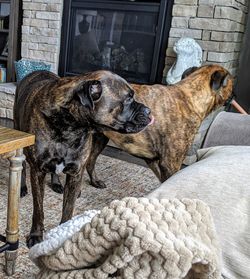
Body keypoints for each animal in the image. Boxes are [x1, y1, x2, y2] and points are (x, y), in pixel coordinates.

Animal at [14, 70, 151, 247]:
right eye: (128, 98)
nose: (149, 111)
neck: (71, 127)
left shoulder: (75, 174)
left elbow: (68, 209)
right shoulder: (38, 172)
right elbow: (38, 210)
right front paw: (36, 235)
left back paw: (59, 183)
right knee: (24, 165)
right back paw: (23, 187)